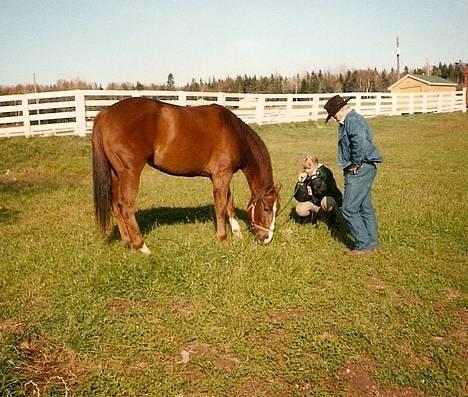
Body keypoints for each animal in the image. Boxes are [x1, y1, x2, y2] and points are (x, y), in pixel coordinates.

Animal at [92, 97, 282, 255]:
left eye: (277, 209)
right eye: (266, 208)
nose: (266, 239)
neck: (233, 131)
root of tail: (104, 114)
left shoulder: (221, 176)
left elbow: (229, 203)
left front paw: (237, 234)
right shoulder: (222, 175)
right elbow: (221, 206)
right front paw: (223, 239)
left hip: (115, 174)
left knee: (115, 205)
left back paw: (127, 243)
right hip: (129, 172)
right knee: (126, 206)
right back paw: (142, 247)